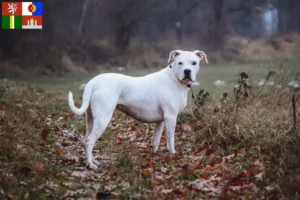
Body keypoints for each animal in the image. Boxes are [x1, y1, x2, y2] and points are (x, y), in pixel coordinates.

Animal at [69, 50, 207, 169]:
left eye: (194, 63)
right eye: (180, 63)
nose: (187, 71)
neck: (174, 78)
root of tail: (94, 81)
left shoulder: (161, 121)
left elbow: (155, 141)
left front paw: (154, 156)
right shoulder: (171, 117)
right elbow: (170, 139)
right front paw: (173, 154)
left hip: (91, 119)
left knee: (85, 140)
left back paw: (91, 161)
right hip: (103, 118)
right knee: (89, 141)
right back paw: (91, 165)